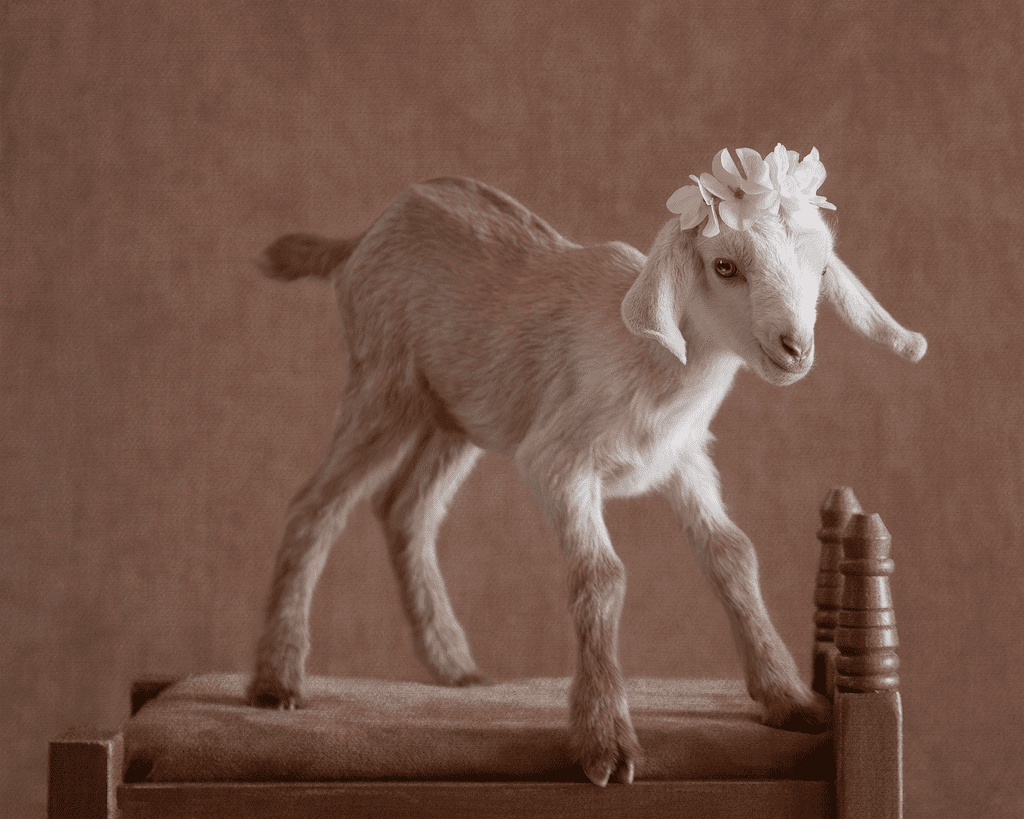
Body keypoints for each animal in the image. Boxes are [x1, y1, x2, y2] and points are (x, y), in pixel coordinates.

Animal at [248, 148, 927, 787]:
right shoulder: (558, 463)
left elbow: (733, 554)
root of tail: (365, 234)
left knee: (405, 507)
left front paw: (788, 699)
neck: (654, 359)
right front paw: (605, 740)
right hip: (384, 386)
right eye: (724, 266)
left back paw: (453, 664)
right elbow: (601, 577)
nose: (795, 348)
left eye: (821, 267)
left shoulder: (683, 461)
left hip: (464, 413)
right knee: (316, 505)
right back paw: (277, 682)